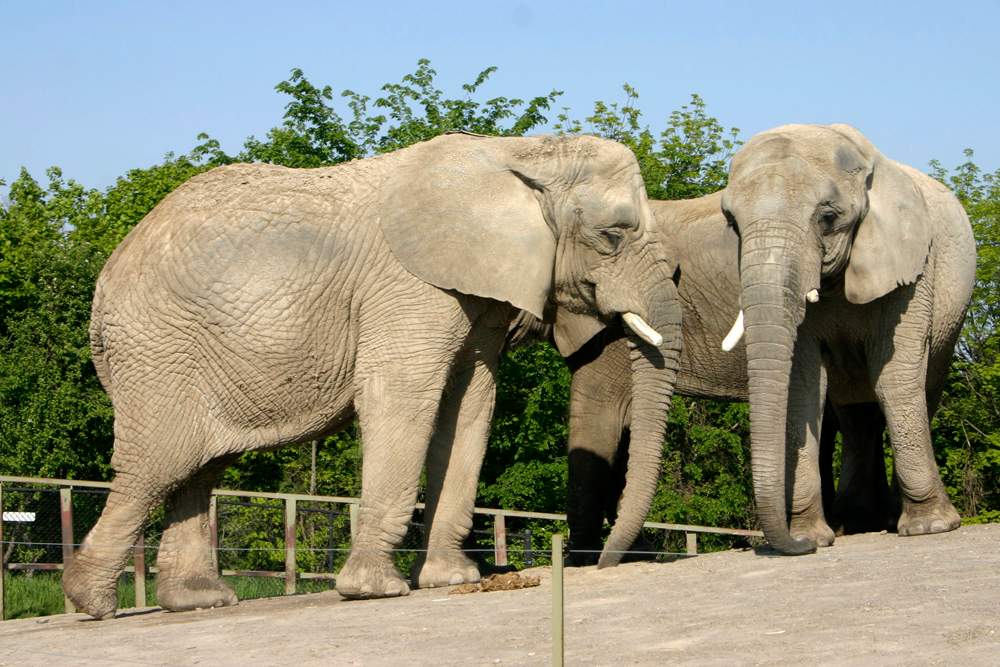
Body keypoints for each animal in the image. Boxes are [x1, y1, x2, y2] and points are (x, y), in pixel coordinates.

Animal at [61, 132, 683, 619]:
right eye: (613, 235)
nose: (600, 562)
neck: (521, 152)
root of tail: (103, 282)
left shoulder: (477, 295)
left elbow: (469, 404)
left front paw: (453, 581)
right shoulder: (410, 287)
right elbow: (402, 395)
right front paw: (376, 592)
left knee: (199, 466)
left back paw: (197, 601)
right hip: (156, 349)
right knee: (159, 461)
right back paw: (92, 603)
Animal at [720, 124, 975, 554]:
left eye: (827, 217)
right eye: (733, 223)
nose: (795, 545)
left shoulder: (913, 270)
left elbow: (895, 379)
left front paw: (930, 527)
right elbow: (806, 389)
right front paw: (812, 536)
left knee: (921, 389)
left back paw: (884, 519)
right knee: (857, 416)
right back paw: (856, 521)